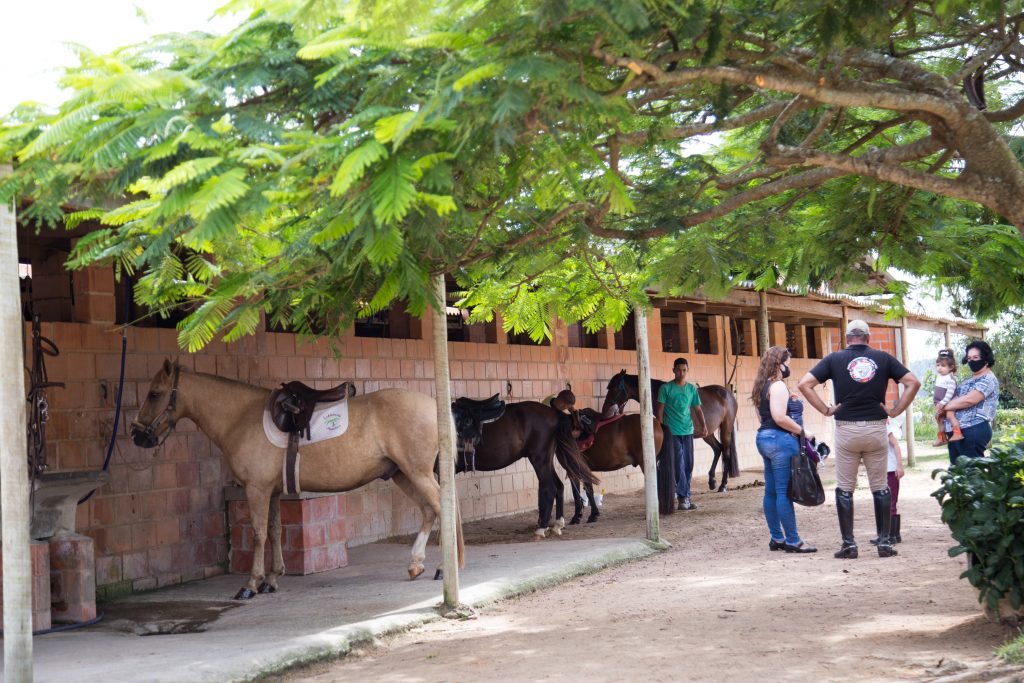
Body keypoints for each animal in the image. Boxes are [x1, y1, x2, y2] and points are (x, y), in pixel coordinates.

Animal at [132, 362, 464, 598]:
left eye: (155, 393)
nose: (138, 435)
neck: (241, 417)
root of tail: (436, 407)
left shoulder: (256, 489)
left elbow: (258, 533)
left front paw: (251, 584)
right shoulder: (272, 491)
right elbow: (275, 531)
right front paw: (273, 578)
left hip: (416, 473)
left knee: (440, 507)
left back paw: (443, 566)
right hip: (402, 475)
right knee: (430, 510)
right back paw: (418, 564)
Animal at [454, 401, 598, 540]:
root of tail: (554, 413)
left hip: (539, 460)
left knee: (550, 488)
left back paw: (541, 529)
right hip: (546, 461)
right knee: (559, 486)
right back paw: (557, 525)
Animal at [598, 370, 737, 493]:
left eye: (614, 388)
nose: (605, 410)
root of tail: (728, 394)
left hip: (726, 428)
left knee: (726, 452)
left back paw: (723, 485)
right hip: (707, 433)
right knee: (718, 449)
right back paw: (712, 481)